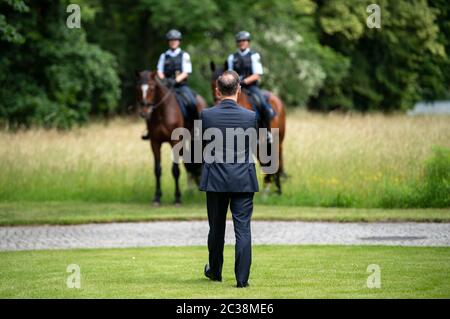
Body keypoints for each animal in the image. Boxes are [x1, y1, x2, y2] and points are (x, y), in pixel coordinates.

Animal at [136, 70, 208, 205]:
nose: (144, 112)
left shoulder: (174, 142)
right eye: (138, 88)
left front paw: (177, 198)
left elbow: (175, 170)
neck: (161, 112)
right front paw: (157, 197)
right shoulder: (155, 142)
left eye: (152, 88)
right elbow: (157, 170)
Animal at [210, 61, 286, 194]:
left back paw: (277, 188)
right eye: (212, 82)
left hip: (278, 140)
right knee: (266, 160)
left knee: (277, 159)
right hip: (261, 144)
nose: (218, 102)